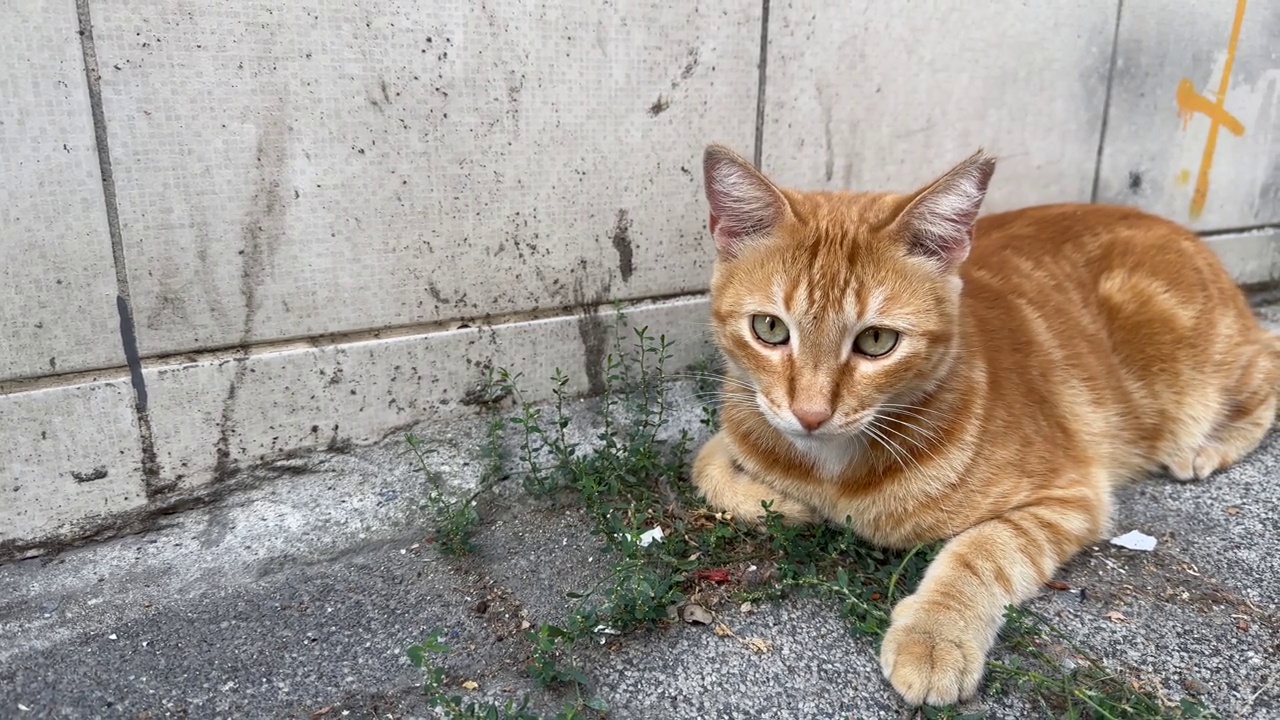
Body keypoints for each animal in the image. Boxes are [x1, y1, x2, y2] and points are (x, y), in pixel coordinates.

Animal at [696, 142, 1274, 702]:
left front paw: (934, 635)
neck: (831, 471)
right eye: (770, 329)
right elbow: (706, 468)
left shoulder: (1070, 495)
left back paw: (1205, 447)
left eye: (877, 341)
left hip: (1192, 374)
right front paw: (784, 504)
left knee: (1270, 356)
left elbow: (982, 551)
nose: (811, 414)